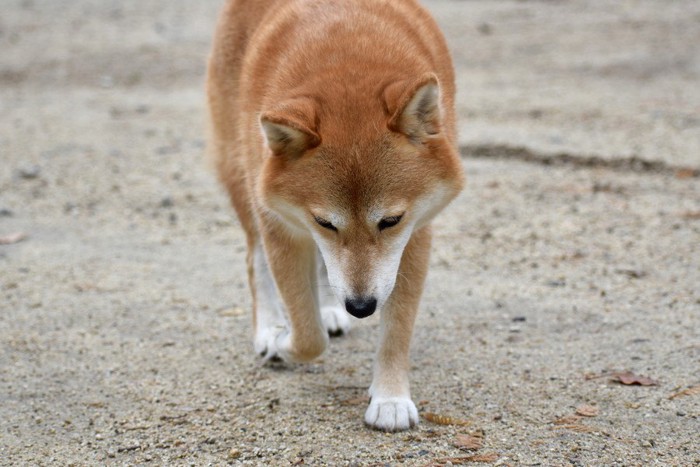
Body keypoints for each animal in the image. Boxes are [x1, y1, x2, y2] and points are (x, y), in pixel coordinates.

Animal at [205, 0, 462, 432]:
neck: (347, 59)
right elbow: (308, 335)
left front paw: (391, 398)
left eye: (390, 221)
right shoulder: (283, 229)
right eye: (325, 222)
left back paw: (329, 309)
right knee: (255, 261)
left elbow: (397, 328)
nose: (360, 307)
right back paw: (270, 327)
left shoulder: (414, 233)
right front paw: (283, 341)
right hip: (240, 176)